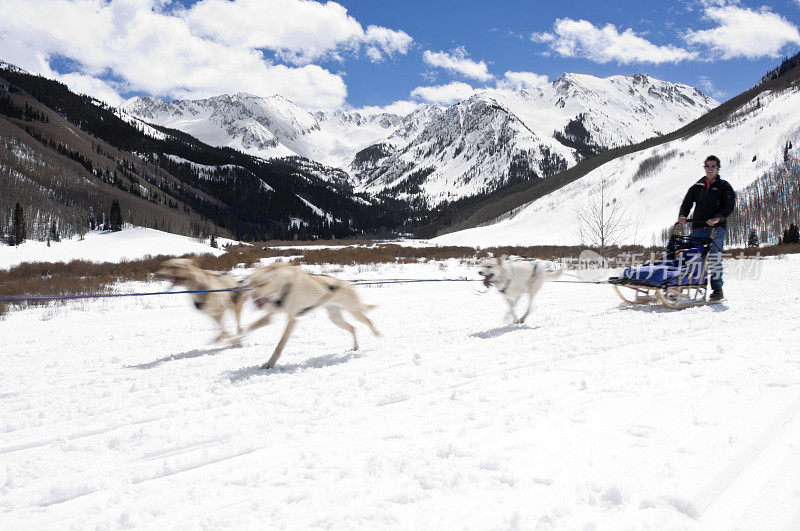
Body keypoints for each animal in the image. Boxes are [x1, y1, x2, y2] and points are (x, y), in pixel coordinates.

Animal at [245, 262, 380, 370]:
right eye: (253, 283)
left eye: (263, 284)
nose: (253, 295)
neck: (286, 284)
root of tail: (346, 283)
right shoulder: (271, 315)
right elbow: (249, 327)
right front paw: (239, 339)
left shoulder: (292, 320)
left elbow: (280, 345)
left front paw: (270, 363)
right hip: (335, 319)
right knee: (353, 328)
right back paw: (355, 346)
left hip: (354, 312)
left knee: (368, 321)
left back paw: (377, 335)